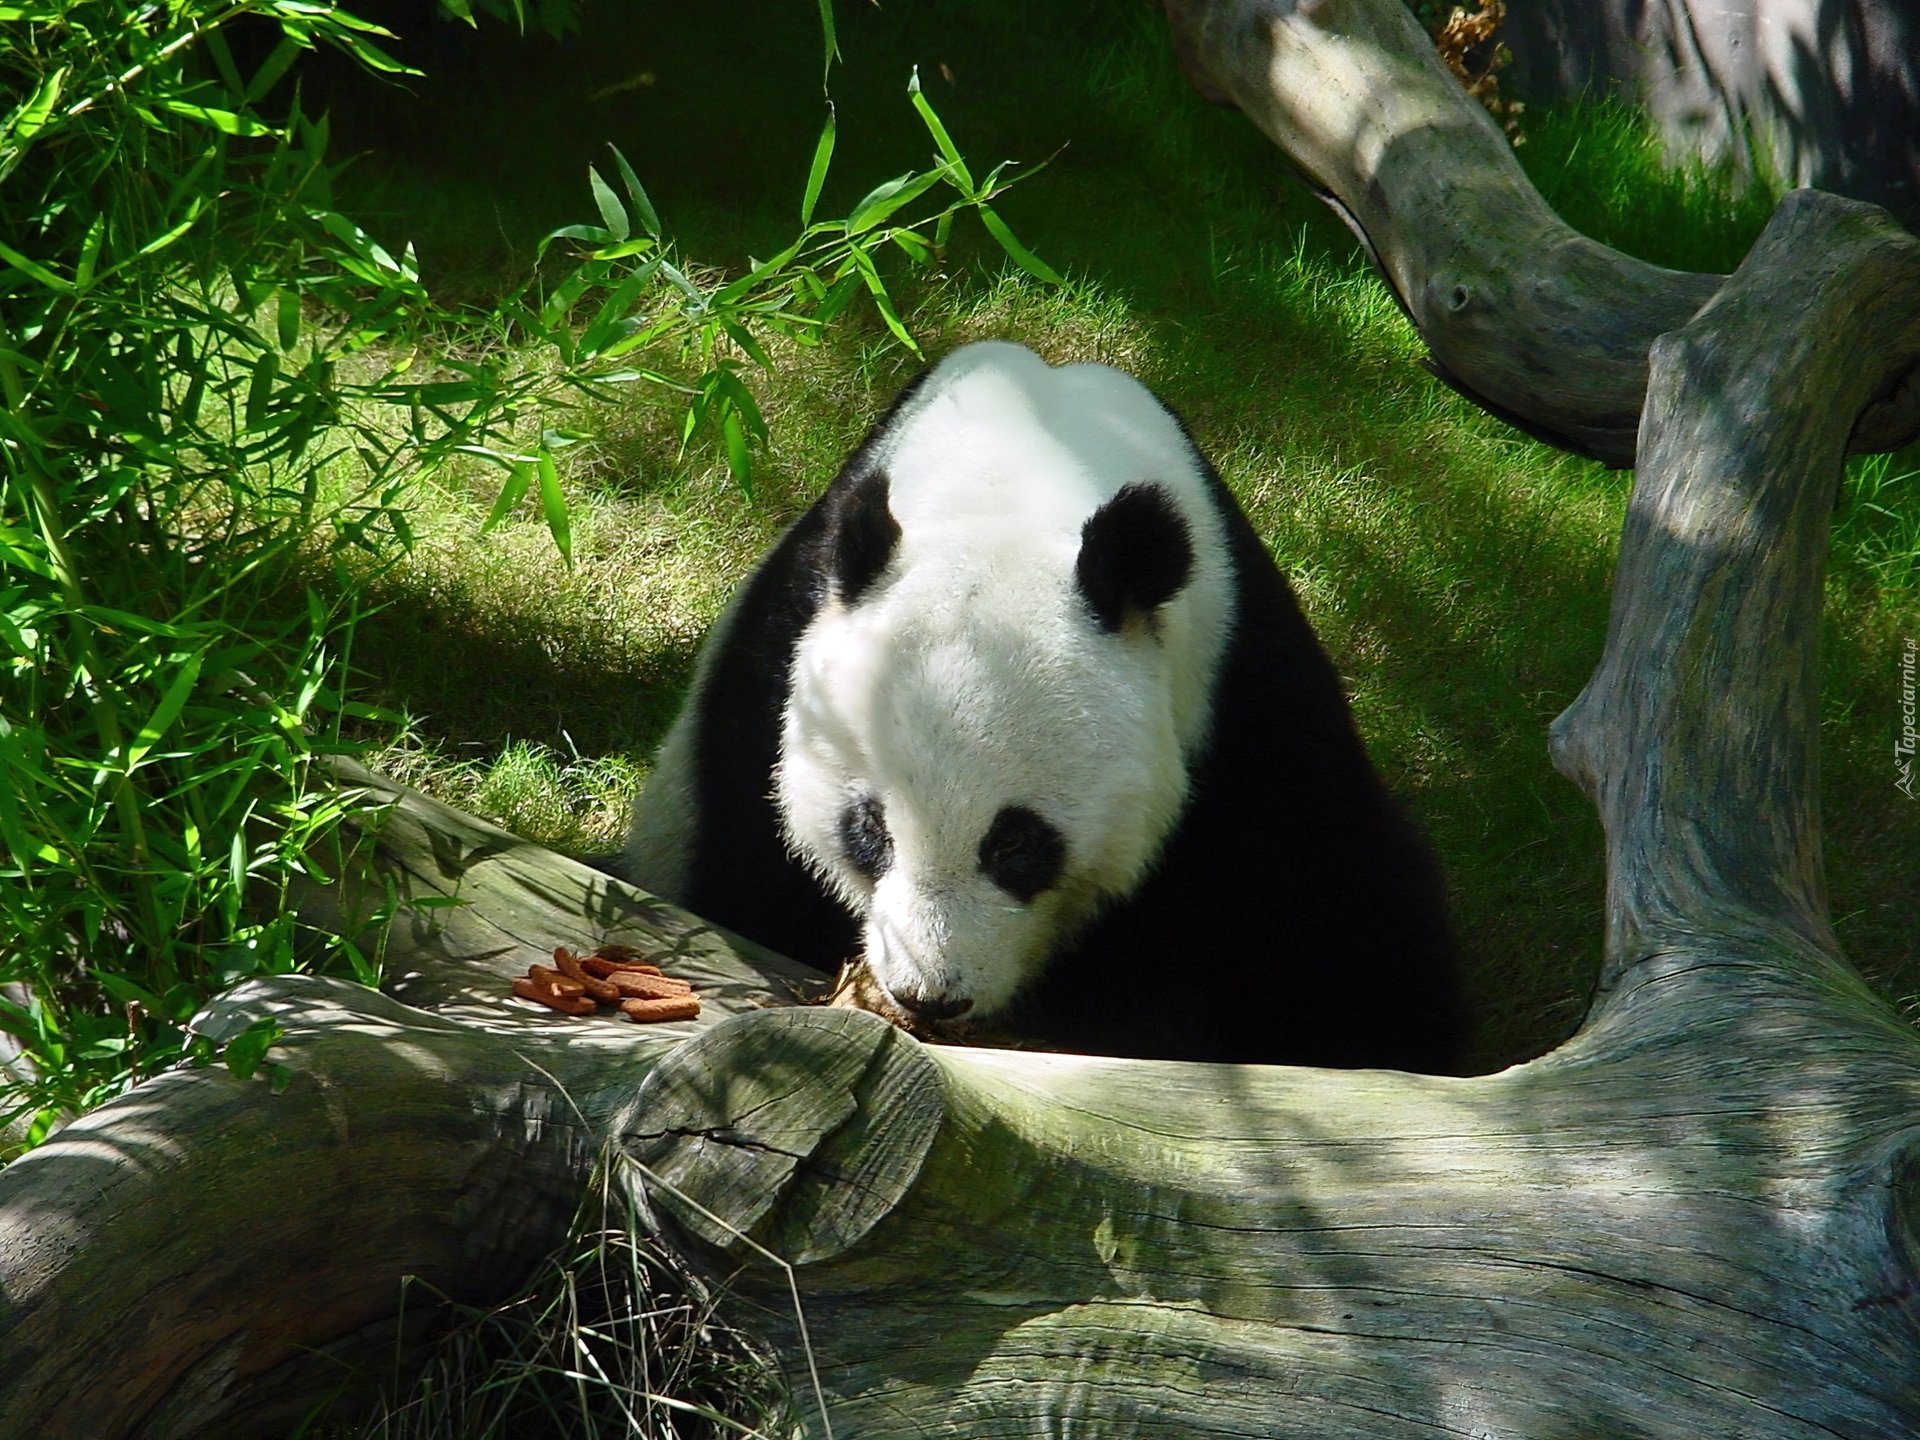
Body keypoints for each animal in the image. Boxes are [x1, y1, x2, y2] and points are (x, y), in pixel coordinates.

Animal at [622, 341, 1459, 1075]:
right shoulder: (772, 680)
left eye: (1018, 843)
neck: (1014, 484)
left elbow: (1328, 932)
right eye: (870, 831)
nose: (932, 997)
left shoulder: (1240, 697)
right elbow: (749, 882)